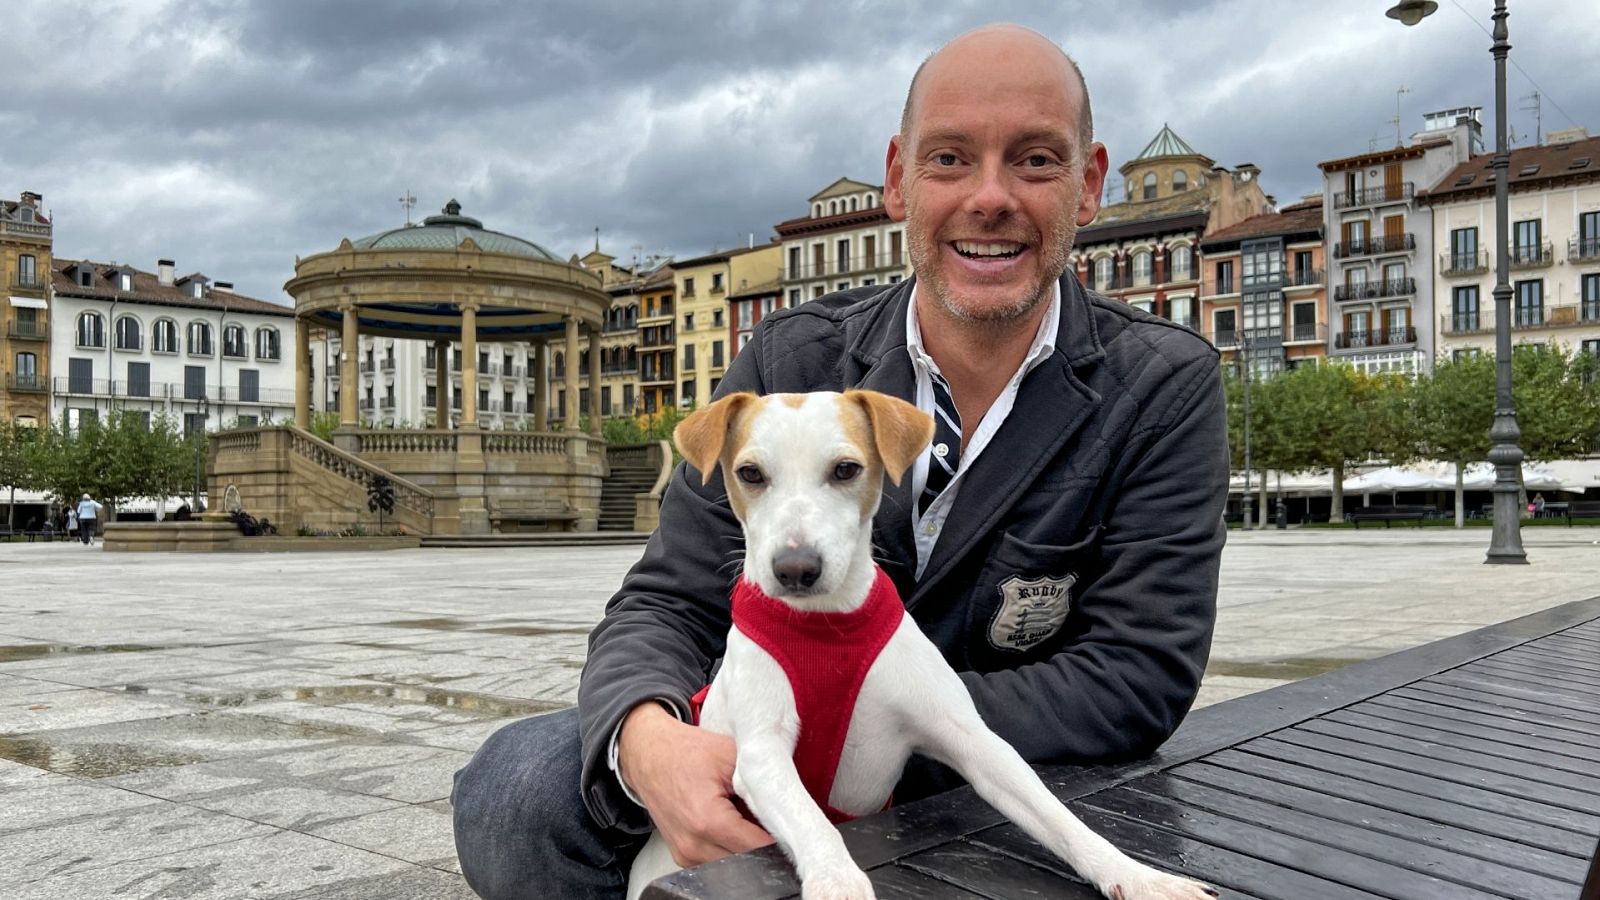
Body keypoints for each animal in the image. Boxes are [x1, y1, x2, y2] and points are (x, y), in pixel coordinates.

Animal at [624, 387, 1209, 896]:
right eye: (750, 474)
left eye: (845, 469)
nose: (795, 569)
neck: (828, 628)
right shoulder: (762, 755)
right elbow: (815, 822)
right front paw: (838, 883)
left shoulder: (972, 738)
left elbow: (1055, 813)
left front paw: (1136, 875)